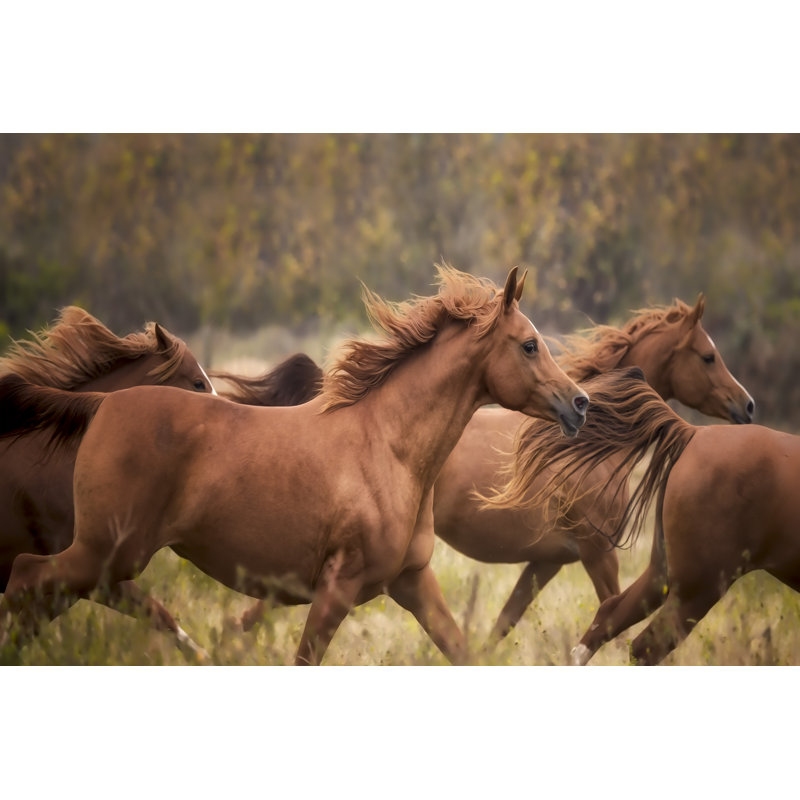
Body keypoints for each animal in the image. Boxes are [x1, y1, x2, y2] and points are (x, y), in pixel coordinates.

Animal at [489, 367, 800, 665]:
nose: (747, 406)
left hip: (664, 573)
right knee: (645, 647)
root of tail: (693, 433)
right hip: (699, 586)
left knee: (608, 617)